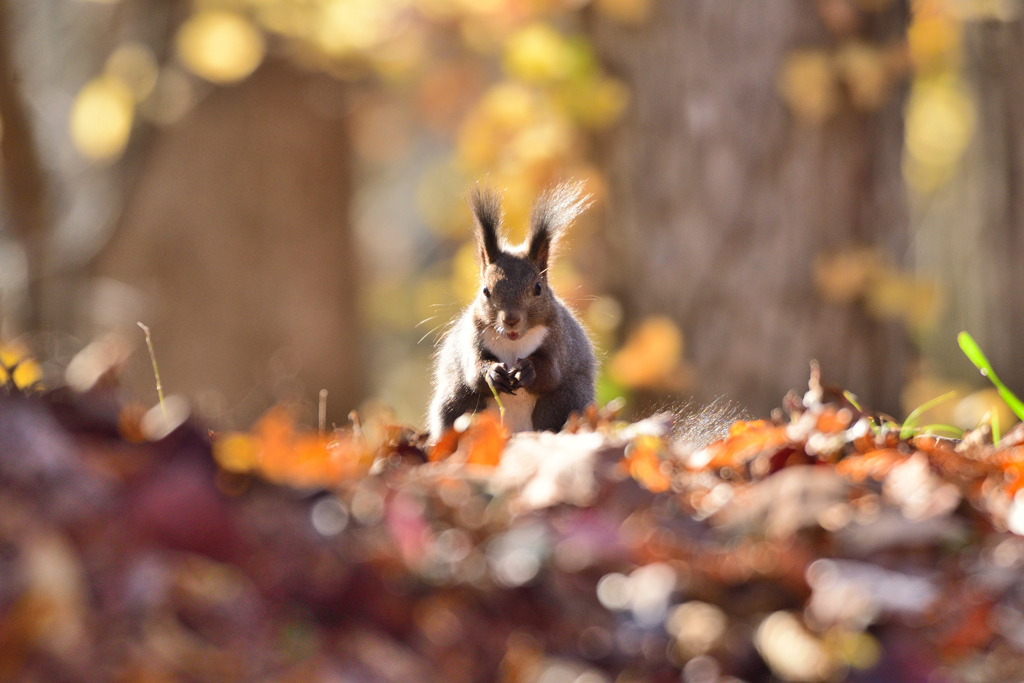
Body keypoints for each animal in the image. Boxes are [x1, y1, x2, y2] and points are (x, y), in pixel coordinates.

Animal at [428, 181, 598, 438]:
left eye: (538, 288)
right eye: (485, 290)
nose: (511, 319)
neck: (513, 341)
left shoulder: (559, 340)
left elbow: (551, 372)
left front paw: (528, 370)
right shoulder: (472, 338)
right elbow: (474, 370)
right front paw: (493, 373)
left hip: (568, 399)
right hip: (457, 402)